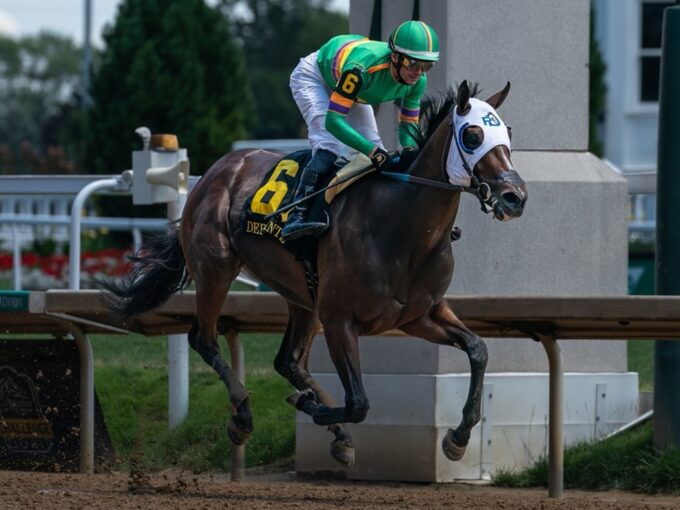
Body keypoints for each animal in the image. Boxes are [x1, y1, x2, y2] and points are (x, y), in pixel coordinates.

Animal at [105, 81, 524, 468]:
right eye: (473, 135)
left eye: (508, 135)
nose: (515, 197)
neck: (401, 227)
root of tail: (215, 172)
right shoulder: (339, 320)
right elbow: (358, 401)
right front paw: (312, 407)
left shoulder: (419, 315)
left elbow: (478, 350)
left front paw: (458, 437)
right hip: (215, 269)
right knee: (204, 338)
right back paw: (243, 415)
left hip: (300, 294)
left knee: (287, 361)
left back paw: (334, 432)